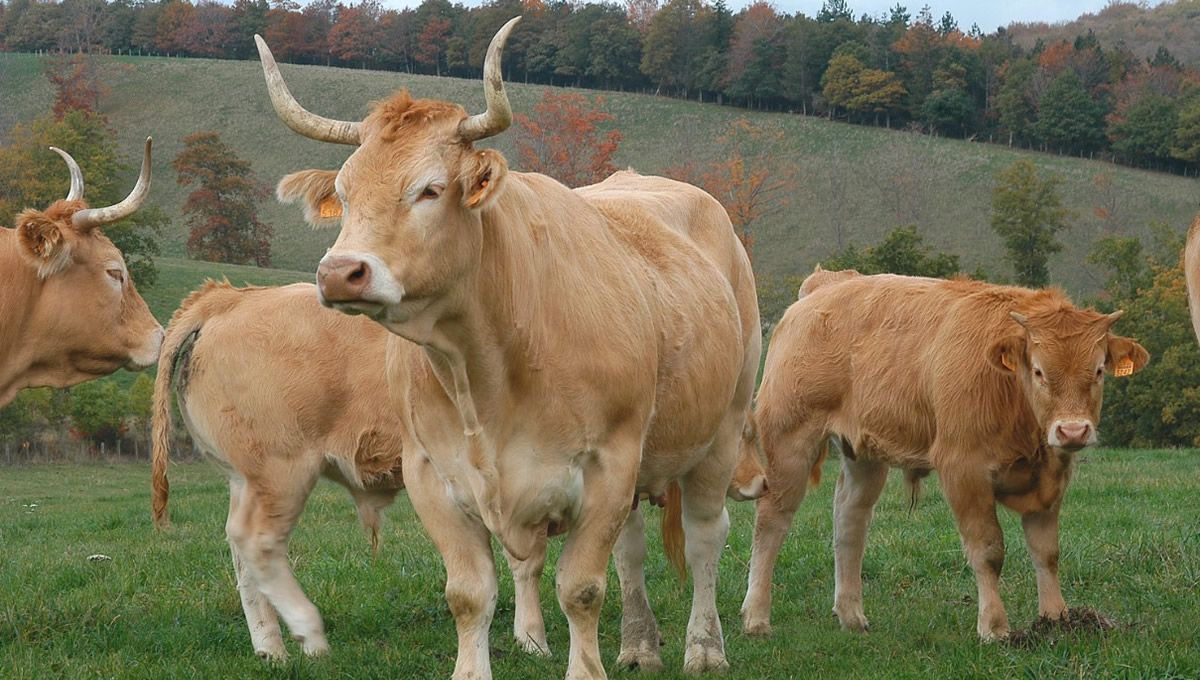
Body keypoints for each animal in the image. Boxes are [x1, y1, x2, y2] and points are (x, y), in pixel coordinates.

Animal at [150, 280, 768, 662]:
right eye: (747, 430)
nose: (760, 483)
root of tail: (229, 298)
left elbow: (529, 561)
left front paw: (530, 639)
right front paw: (535, 637)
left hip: (245, 478)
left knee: (238, 549)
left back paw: (270, 646)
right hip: (279, 472)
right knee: (257, 542)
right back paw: (307, 631)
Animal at [255, 15, 758, 680]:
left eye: (430, 189)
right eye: (345, 190)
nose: (341, 273)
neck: (484, 369)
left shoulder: (609, 463)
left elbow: (581, 588)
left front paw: (586, 668)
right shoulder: (430, 472)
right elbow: (470, 593)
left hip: (721, 430)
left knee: (704, 538)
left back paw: (703, 648)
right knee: (631, 552)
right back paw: (636, 644)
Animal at [739, 268, 1152, 642]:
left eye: (1098, 371)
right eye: (1038, 371)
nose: (1072, 431)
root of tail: (826, 284)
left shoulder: (1051, 478)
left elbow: (1046, 551)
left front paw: (1056, 619)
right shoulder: (964, 471)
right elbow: (988, 550)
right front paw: (994, 627)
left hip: (864, 455)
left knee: (849, 519)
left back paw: (852, 614)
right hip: (790, 441)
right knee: (772, 521)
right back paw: (756, 617)